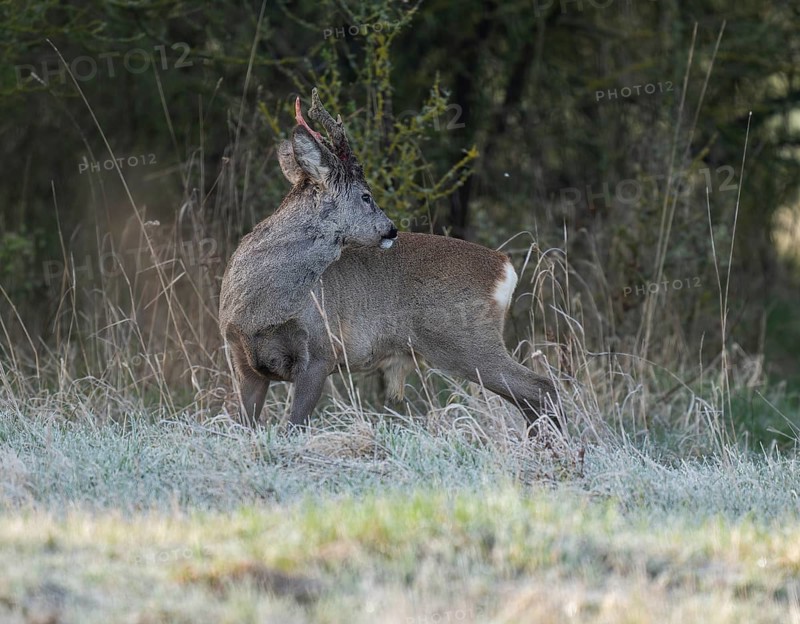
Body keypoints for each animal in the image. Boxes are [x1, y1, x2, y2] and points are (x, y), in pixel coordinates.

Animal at [218, 89, 559, 435]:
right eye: (366, 196)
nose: (391, 228)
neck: (261, 309)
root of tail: (504, 266)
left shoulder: (321, 352)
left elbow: (295, 426)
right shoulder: (242, 360)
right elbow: (245, 424)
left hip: (467, 339)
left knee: (541, 387)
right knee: (530, 397)